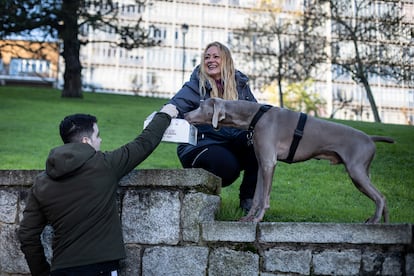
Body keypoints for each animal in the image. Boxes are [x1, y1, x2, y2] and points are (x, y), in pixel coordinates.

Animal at [184, 98, 394, 223]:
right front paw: (248, 219)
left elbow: (265, 198)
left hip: (356, 171)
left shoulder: (269, 162)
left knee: (381, 197)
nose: (185, 114)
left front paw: (258, 219)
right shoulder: (262, 164)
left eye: (200, 105)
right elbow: (257, 196)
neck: (255, 115)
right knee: (381, 198)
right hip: (360, 174)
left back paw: (374, 222)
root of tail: (370, 138)